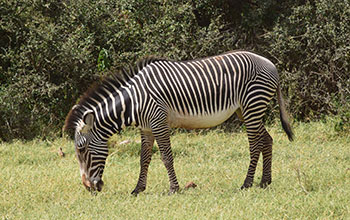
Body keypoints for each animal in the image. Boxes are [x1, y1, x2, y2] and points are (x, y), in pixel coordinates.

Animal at [65, 50, 292, 194]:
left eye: (81, 150)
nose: (88, 187)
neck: (134, 102)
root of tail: (271, 64)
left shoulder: (158, 122)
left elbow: (166, 157)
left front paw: (174, 188)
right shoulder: (146, 129)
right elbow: (144, 159)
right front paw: (138, 189)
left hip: (252, 104)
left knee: (254, 145)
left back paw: (247, 183)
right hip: (245, 110)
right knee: (267, 140)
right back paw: (265, 182)